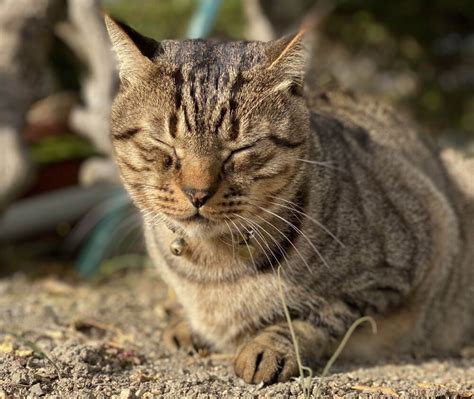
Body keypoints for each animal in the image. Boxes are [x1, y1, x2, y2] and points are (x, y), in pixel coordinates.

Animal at [104, 17, 474, 386]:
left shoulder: (408, 258)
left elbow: (320, 314)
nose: (197, 192)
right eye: (163, 143)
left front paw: (268, 347)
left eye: (241, 149)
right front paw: (186, 324)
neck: (212, 267)